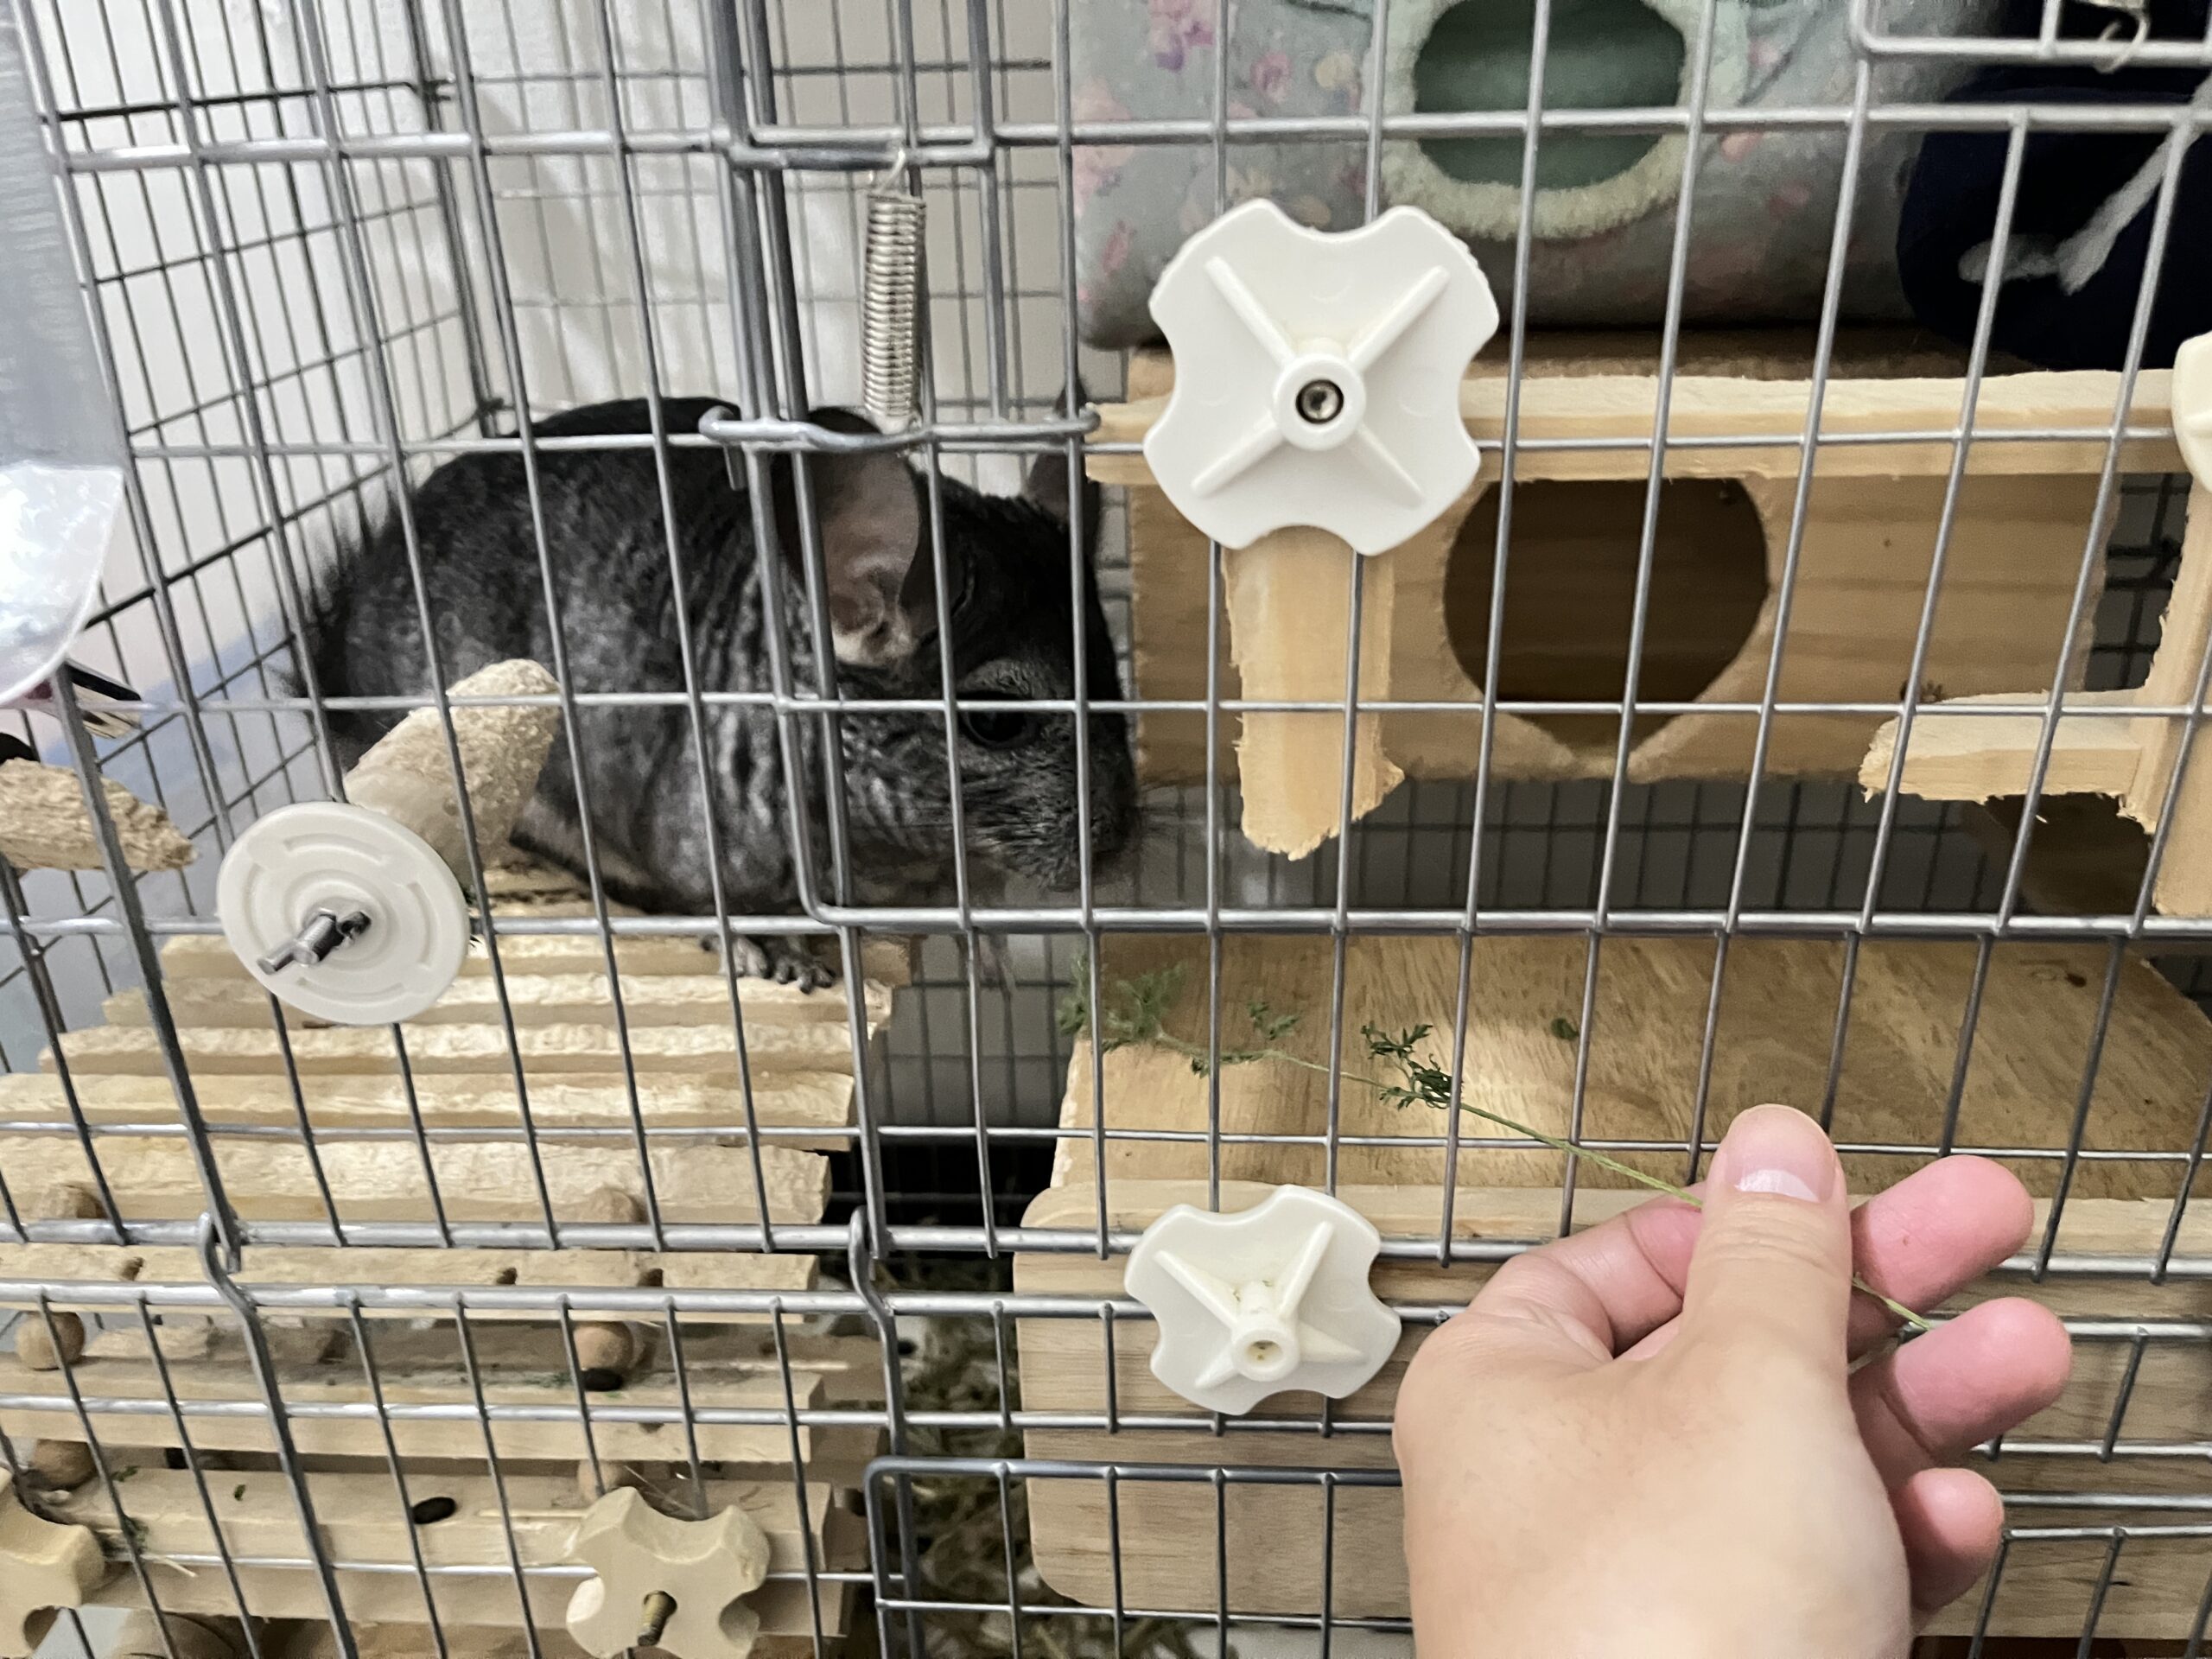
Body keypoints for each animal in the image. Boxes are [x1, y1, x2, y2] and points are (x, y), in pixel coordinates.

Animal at [304, 398, 1138, 988]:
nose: (1117, 850)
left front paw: (988, 952)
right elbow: (714, 898)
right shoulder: (697, 828)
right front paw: (769, 955)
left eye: (1115, 679)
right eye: (996, 721)